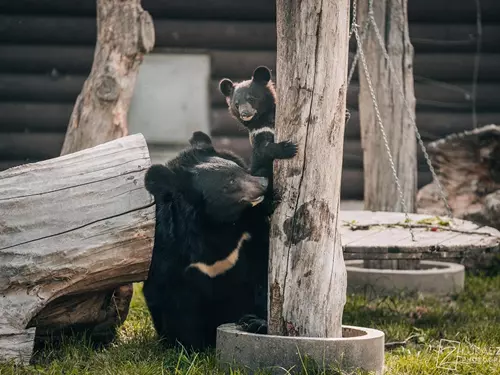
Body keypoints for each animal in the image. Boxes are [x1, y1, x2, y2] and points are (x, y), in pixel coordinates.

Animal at [143, 131, 270, 352]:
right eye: (229, 182)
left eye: (240, 170)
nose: (264, 183)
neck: (215, 226)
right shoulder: (170, 257)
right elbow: (177, 302)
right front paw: (188, 347)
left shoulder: (250, 240)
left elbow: (262, 276)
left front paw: (256, 322)